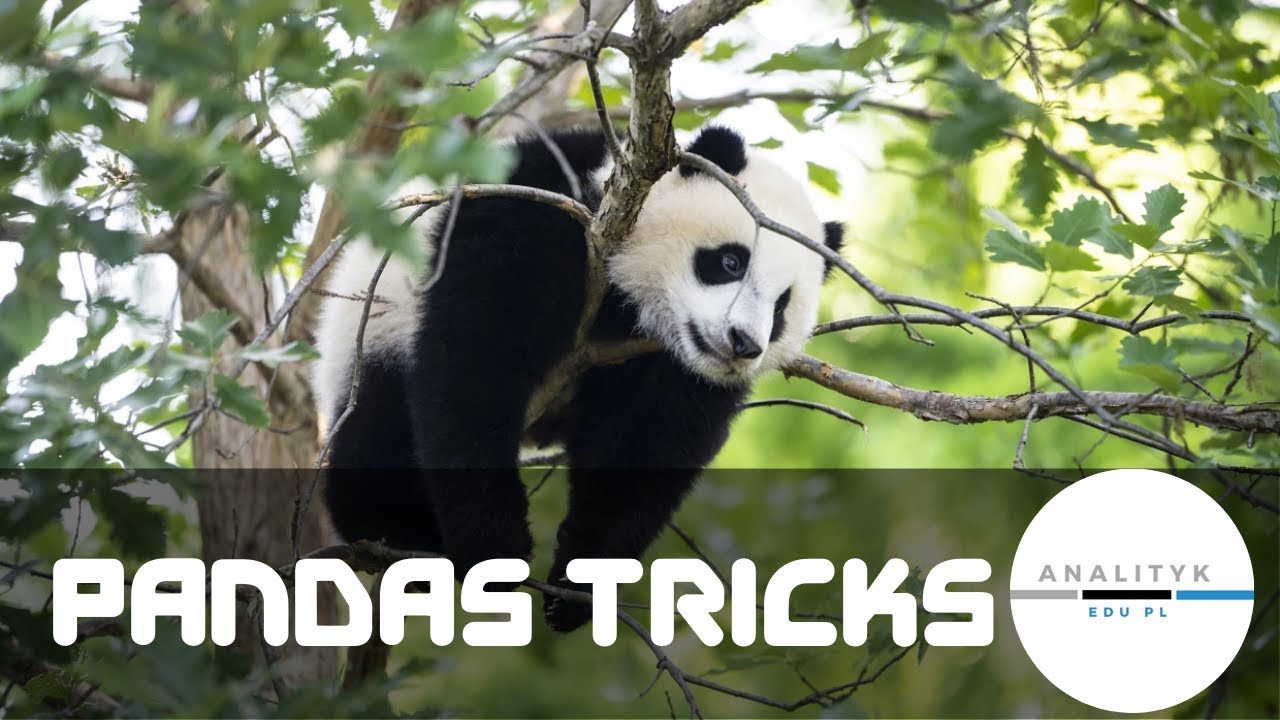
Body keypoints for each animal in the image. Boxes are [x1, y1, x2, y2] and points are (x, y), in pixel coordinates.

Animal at [313, 124, 844, 633]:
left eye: (782, 306)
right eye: (731, 261)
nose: (743, 344)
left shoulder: (670, 369)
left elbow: (645, 447)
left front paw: (577, 588)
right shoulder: (532, 220)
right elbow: (475, 361)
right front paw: (495, 550)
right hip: (373, 337)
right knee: (376, 431)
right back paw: (396, 535)